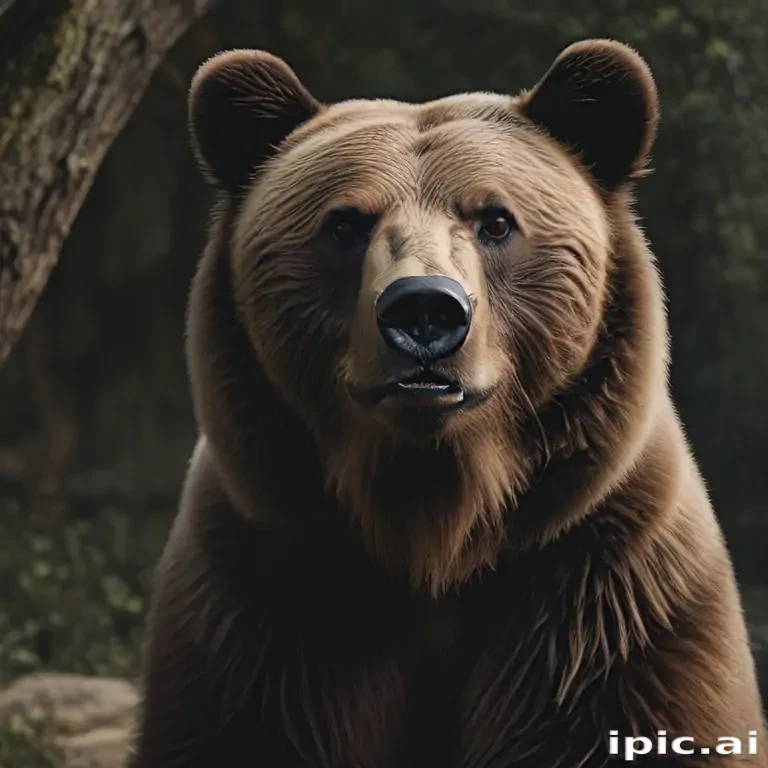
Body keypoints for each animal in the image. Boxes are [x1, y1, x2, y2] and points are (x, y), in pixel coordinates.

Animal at [131, 39, 767, 768]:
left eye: (496, 220)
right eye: (344, 223)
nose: (424, 311)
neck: (435, 532)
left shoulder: (610, 607)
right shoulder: (262, 614)